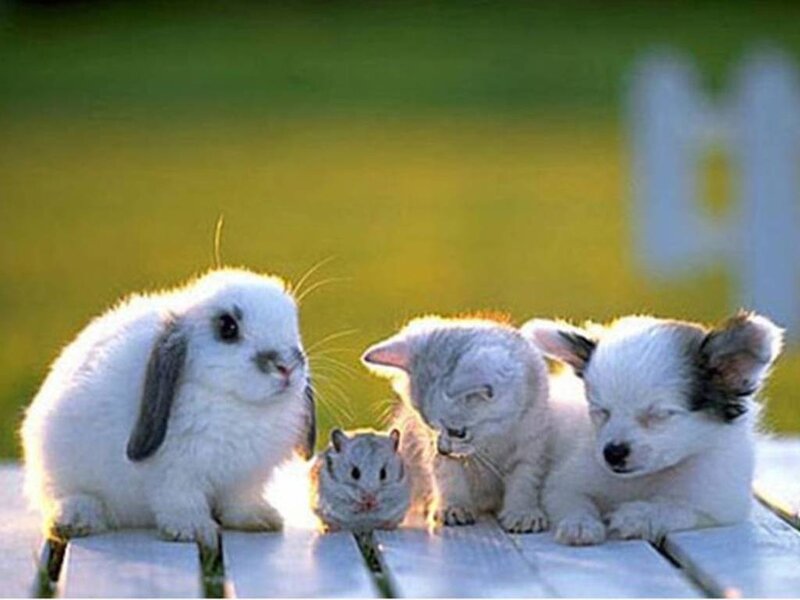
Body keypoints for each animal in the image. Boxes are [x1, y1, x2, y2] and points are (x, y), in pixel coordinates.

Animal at [21, 268, 316, 548]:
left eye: (294, 324)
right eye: (227, 327)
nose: (286, 367)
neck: (239, 404)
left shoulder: (245, 479)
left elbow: (240, 502)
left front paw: (260, 519)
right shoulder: (175, 474)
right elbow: (182, 502)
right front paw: (193, 529)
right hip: (57, 470)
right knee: (65, 496)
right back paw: (77, 519)